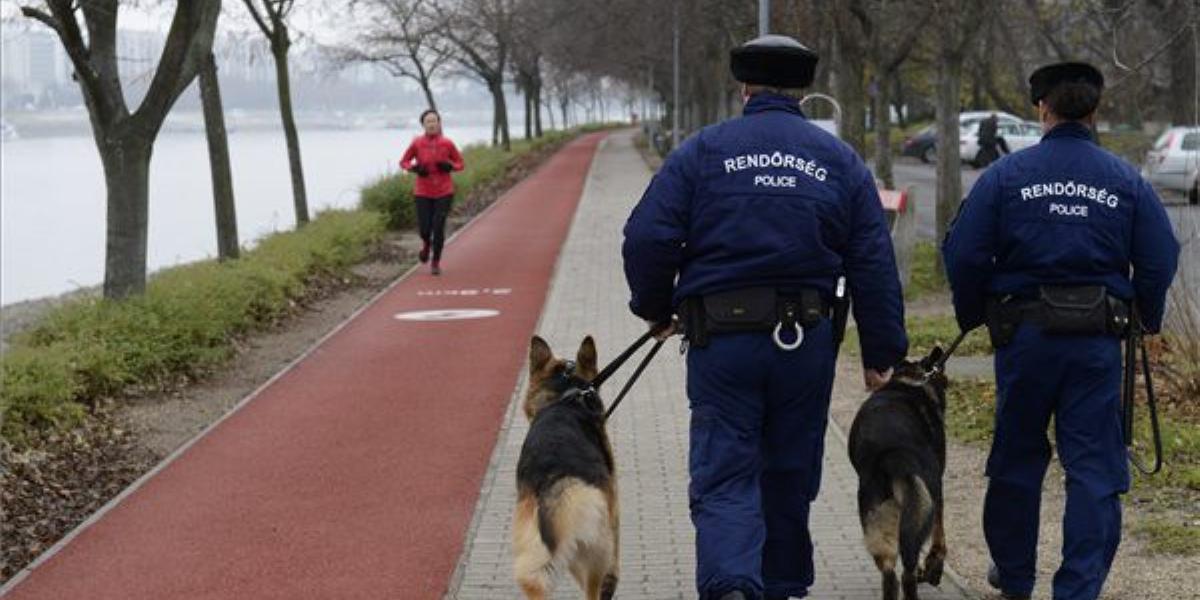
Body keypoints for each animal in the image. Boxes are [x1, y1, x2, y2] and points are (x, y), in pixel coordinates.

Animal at [511, 336, 619, 600]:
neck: (566, 396)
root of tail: (554, 476)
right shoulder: (613, 502)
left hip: (534, 547)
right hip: (594, 542)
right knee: (592, 587)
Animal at [849, 348, 950, 600]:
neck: (909, 379)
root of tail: (893, 455)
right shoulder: (938, 490)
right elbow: (940, 536)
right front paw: (934, 567)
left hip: (877, 517)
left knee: (890, 576)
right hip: (926, 497)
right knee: (908, 572)